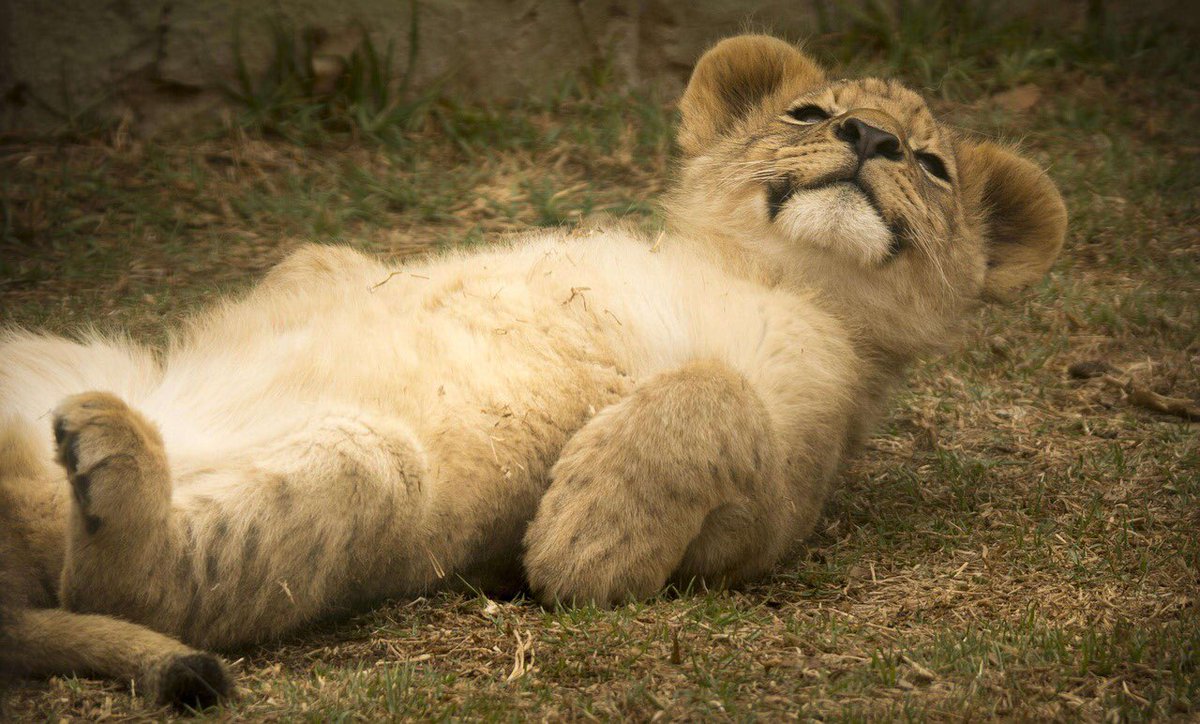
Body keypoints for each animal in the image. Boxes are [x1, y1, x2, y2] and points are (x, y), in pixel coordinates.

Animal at [0, 34, 1066, 708]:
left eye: (930, 164)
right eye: (811, 112)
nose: (872, 140)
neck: (760, 267)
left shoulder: (792, 480)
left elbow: (707, 398)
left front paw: (581, 538)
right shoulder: (333, 262)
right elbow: (318, 265)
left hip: (368, 470)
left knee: (127, 591)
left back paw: (109, 452)